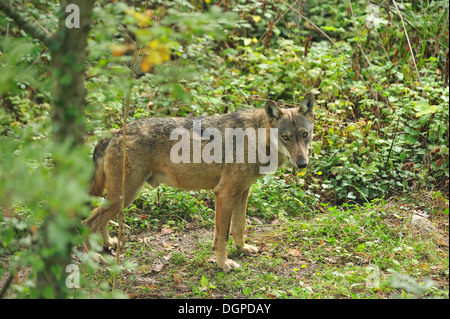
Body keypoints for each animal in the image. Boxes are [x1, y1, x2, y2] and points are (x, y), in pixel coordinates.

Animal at [85, 94, 316, 272]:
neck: (256, 138)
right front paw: (224, 265)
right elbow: (222, 237)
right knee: (89, 222)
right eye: (286, 137)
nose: (302, 164)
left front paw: (242, 249)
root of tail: (113, 133)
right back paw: (92, 258)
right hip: (125, 196)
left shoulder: (243, 191)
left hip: (119, 198)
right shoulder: (224, 194)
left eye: (305, 134)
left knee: (99, 218)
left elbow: (239, 227)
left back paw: (107, 244)